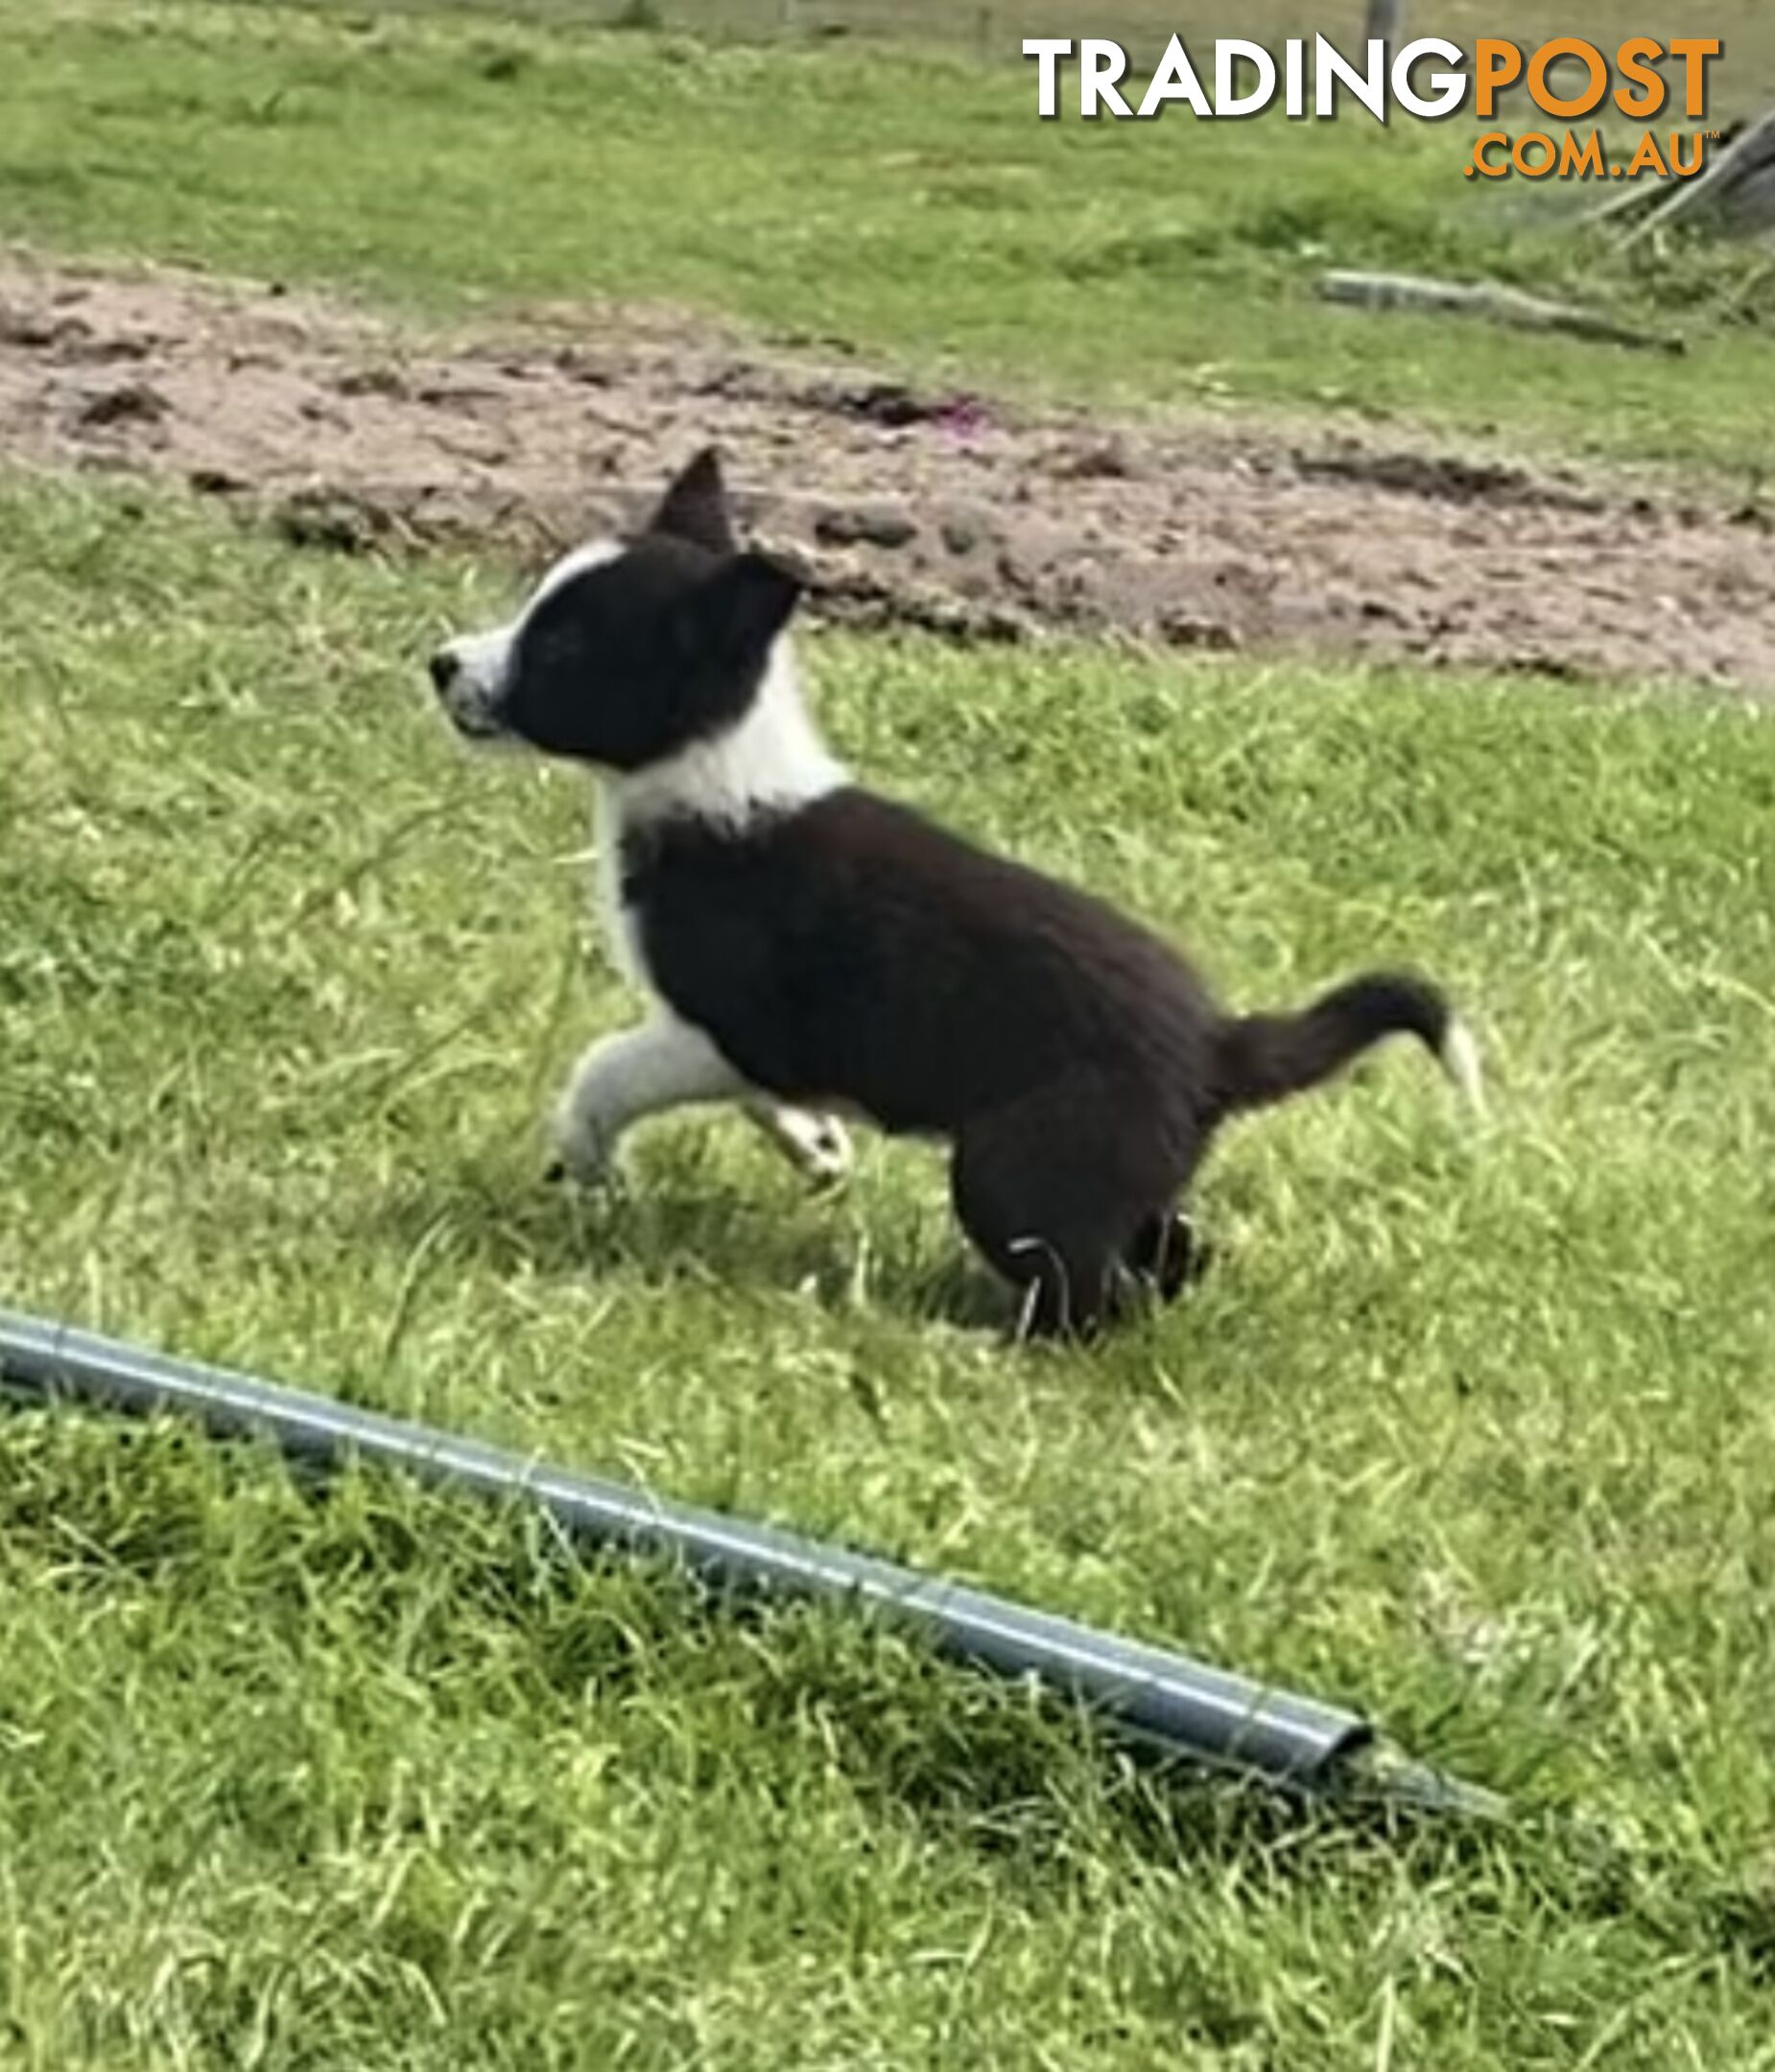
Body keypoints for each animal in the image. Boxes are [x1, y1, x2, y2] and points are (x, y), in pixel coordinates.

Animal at [433, 445, 1484, 1334]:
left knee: (1091, 1300)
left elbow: (605, 1069)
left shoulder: (722, 1024)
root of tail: (1220, 1044)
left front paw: (591, 1161)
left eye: (561, 650)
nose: (439, 663)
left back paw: (977, 1340)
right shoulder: (755, 1048)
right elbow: (766, 1102)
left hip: (1014, 1169)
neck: (719, 770)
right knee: (1171, 1257)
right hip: (1125, 1179)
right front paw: (817, 1145)